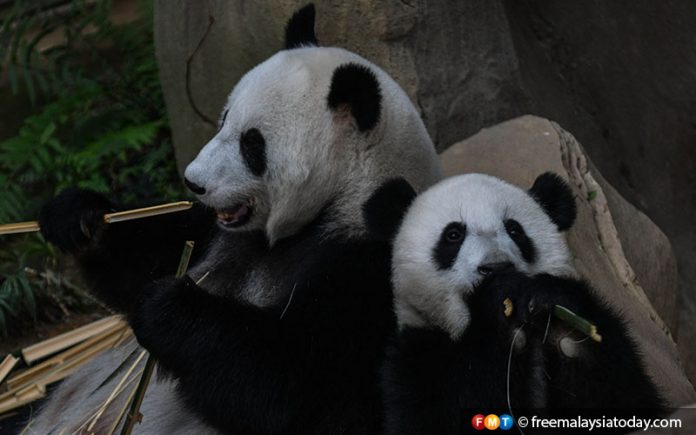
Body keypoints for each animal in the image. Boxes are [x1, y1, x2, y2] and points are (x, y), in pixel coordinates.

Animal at [32, 4, 440, 435]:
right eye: (224, 118)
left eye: (252, 144)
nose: (193, 181)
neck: (345, 195)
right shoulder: (216, 233)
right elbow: (149, 251)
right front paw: (79, 217)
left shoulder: (369, 267)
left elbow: (294, 385)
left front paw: (167, 305)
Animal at [380, 172, 664, 434]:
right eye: (453, 234)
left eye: (515, 230)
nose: (496, 267)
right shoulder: (415, 359)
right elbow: (445, 412)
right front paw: (500, 309)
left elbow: (625, 399)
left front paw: (562, 324)